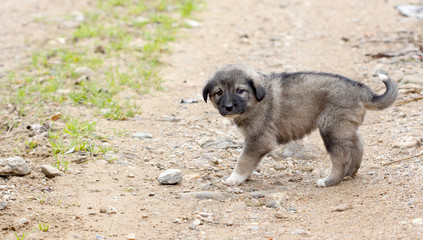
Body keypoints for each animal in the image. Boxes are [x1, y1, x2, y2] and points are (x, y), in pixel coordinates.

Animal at [202, 64, 398, 188]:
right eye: (219, 92)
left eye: (240, 90)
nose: (228, 107)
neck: (255, 100)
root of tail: (360, 89)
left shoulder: (258, 140)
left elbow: (243, 160)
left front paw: (234, 178)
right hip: (344, 127)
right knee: (357, 146)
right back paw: (350, 172)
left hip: (331, 128)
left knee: (340, 158)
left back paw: (329, 180)